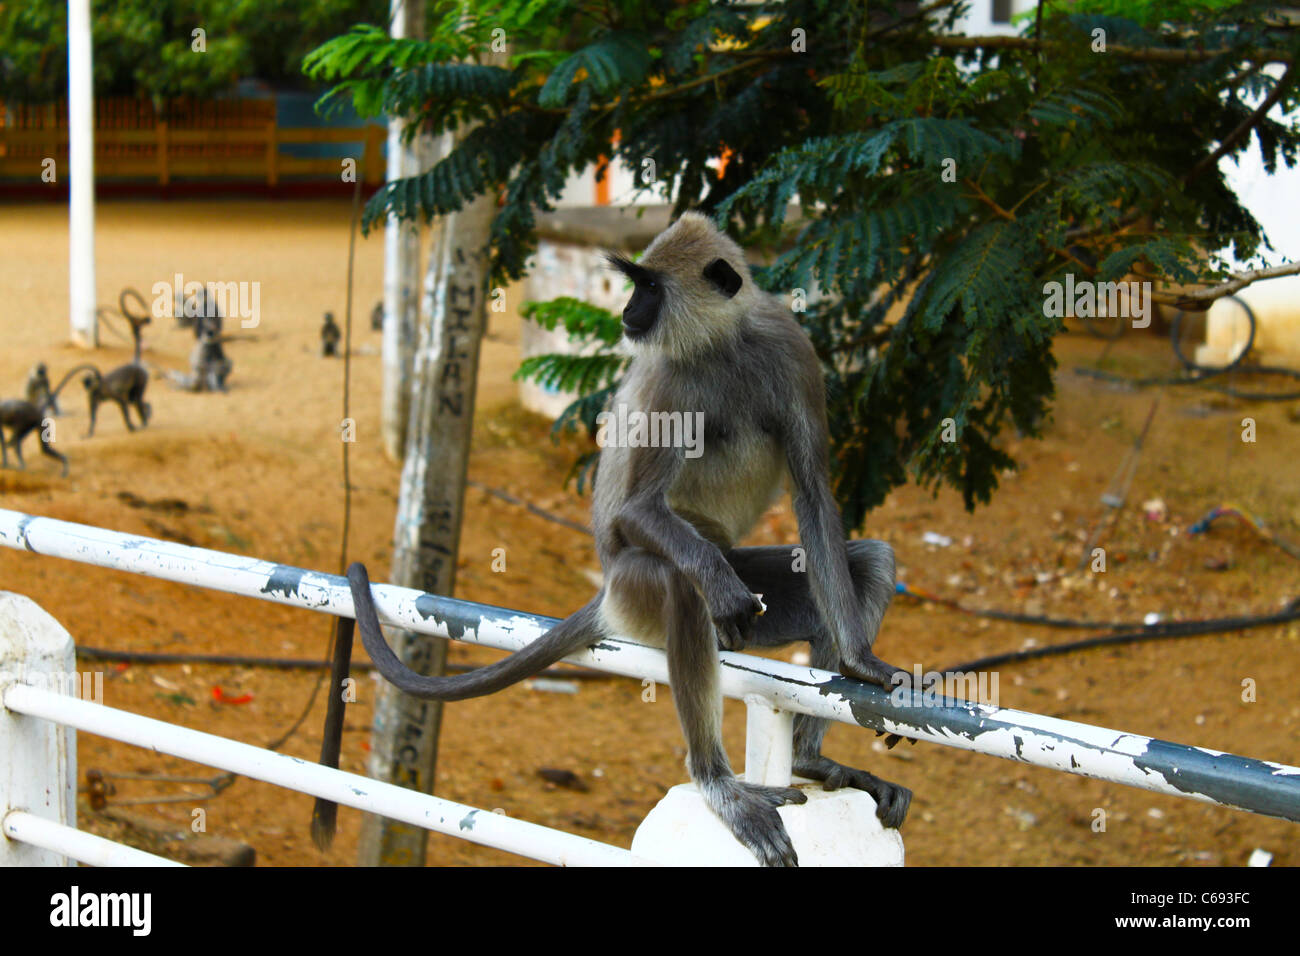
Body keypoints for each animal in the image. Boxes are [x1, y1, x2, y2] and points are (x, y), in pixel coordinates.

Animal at [313, 210, 909, 868]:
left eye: (648, 286)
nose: (627, 309)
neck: (723, 343)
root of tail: (607, 597)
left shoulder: (790, 348)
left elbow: (814, 498)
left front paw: (861, 662)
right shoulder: (671, 378)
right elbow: (637, 509)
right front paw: (719, 588)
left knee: (868, 560)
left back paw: (808, 759)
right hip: (636, 590)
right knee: (680, 582)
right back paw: (719, 781)